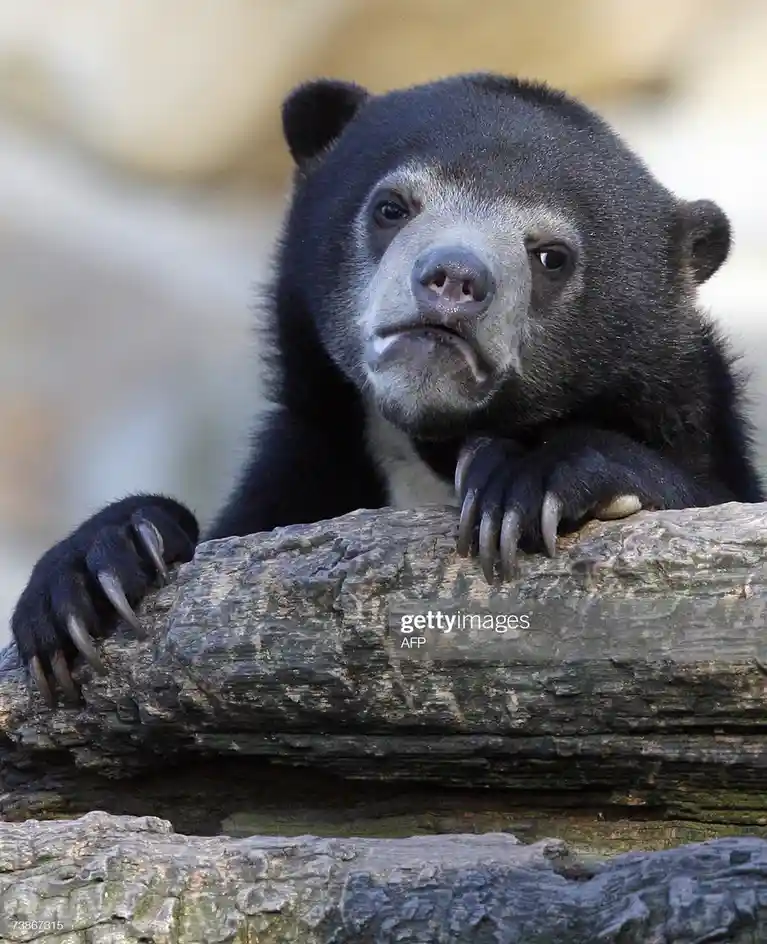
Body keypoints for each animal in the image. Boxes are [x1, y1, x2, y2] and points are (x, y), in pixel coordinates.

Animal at [10, 72, 764, 707]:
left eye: (551, 256)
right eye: (391, 207)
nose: (454, 279)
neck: (427, 445)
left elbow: (704, 489)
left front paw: (524, 480)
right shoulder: (312, 459)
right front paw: (93, 573)